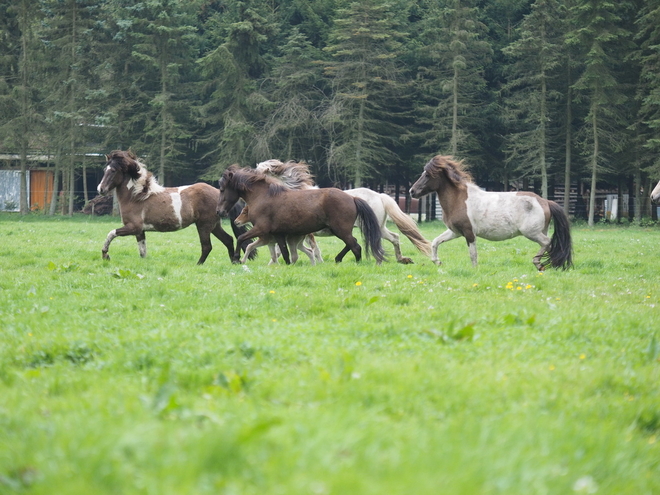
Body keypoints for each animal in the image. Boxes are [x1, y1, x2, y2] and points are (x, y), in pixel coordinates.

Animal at [96, 151, 251, 266]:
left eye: (113, 170)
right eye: (104, 169)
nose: (101, 189)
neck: (136, 196)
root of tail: (218, 193)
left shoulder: (133, 227)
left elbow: (111, 233)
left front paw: (105, 255)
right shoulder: (140, 231)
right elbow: (142, 251)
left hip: (204, 225)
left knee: (207, 246)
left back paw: (198, 264)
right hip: (214, 225)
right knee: (228, 240)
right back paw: (234, 262)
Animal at [215, 167, 386, 266]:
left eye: (222, 189)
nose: (219, 212)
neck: (263, 196)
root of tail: (352, 198)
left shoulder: (261, 229)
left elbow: (240, 238)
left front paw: (236, 259)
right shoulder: (278, 234)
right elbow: (284, 253)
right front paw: (286, 265)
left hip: (340, 230)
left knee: (356, 246)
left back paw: (356, 263)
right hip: (339, 230)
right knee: (352, 243)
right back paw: (338, 259)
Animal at [254, 161, 434, 266]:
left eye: (258, 171)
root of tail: (380, 196)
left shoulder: (305, 233)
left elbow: (308, 248)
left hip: (367, 227)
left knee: (381, 239)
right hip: (375, 227)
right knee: (394, 237)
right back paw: (400, 259)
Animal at [408, 156, 572, 272]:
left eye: (428, 175)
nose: (412, 191)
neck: (459, 199)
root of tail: (545, 201)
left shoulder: (469, 233)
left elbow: (473, 254)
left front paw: (474, 271)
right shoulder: (455, 232)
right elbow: (435, 242)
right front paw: (438, 262)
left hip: (532, 232)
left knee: (547, 242)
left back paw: (538, 263)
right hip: (540, 231)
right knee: (550, 247)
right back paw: (549, 265)